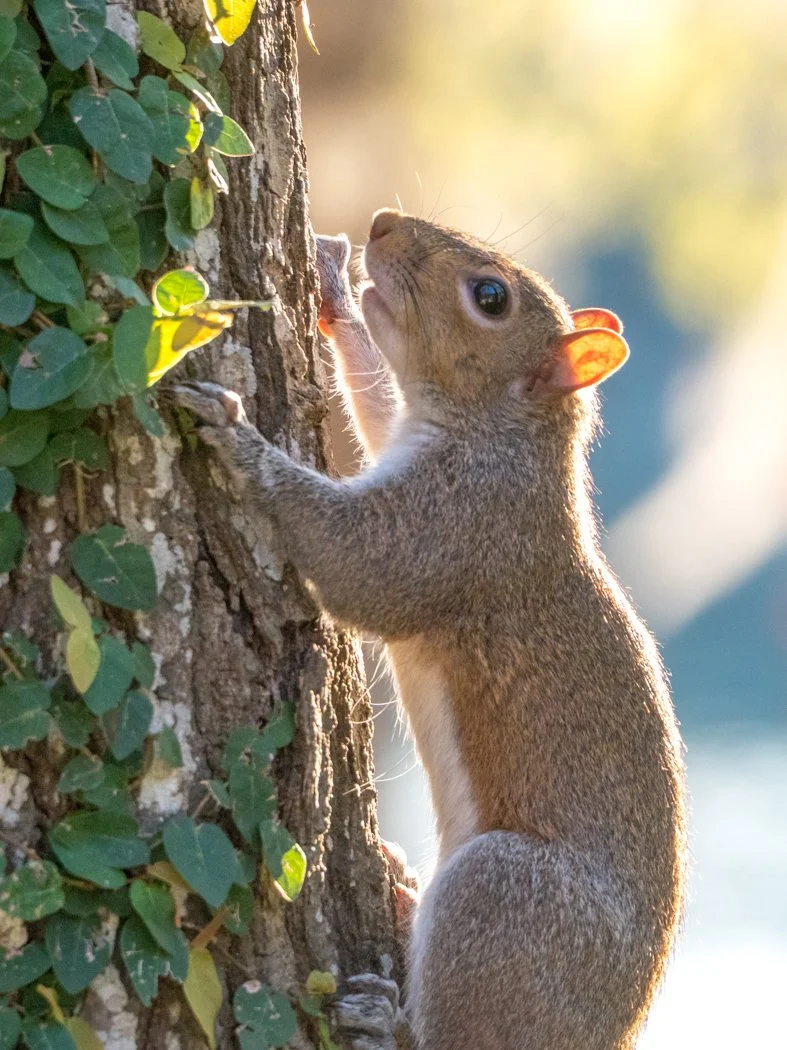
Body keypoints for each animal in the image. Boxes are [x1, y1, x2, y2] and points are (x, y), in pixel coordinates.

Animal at [174, 208, 687, 1050]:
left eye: (490, 297)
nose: (382, 224)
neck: (503, 437)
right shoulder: (405, 441)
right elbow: (374, 406)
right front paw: (333, 290)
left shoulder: (455, 531)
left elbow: (358, 565)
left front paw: (241, 441)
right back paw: (401, 891)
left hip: (503, 901)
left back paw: (386, 1019)